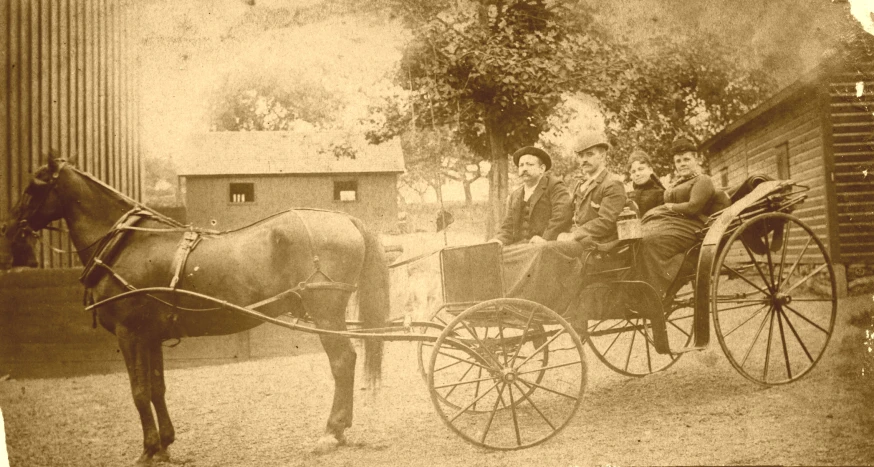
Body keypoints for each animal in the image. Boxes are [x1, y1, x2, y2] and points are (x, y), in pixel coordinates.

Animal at [5, 159, 388, 466]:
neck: (129, 243)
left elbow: (139, 392)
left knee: (342, 362)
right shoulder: (151, 337)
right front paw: (164, 444)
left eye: (33, 187)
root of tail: (346, 218)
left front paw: (148, 449)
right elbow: (156, 388)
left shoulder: (131, 334)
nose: (9, 229)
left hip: (325, 314)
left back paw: (332, 431)